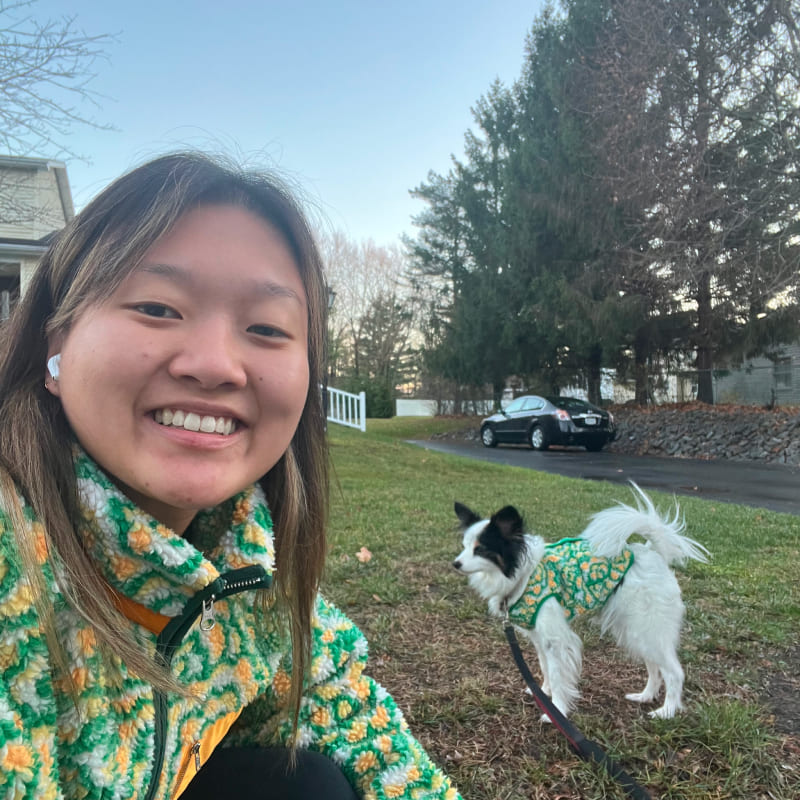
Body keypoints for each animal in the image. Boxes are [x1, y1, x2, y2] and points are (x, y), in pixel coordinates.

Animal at [454, 484, 708, 720]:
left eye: (481, 550)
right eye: (464, 546)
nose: (455, 563)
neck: (523, 575)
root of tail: (654, 553)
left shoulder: (556, 640)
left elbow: (558, 676)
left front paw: (556, 711)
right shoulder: (539, 638)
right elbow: (545, 668)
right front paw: (543, 692)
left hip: (649, 629)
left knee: (674, 672)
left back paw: (666, 711)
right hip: (638, 632)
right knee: (654, 667)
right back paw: (645, 696)